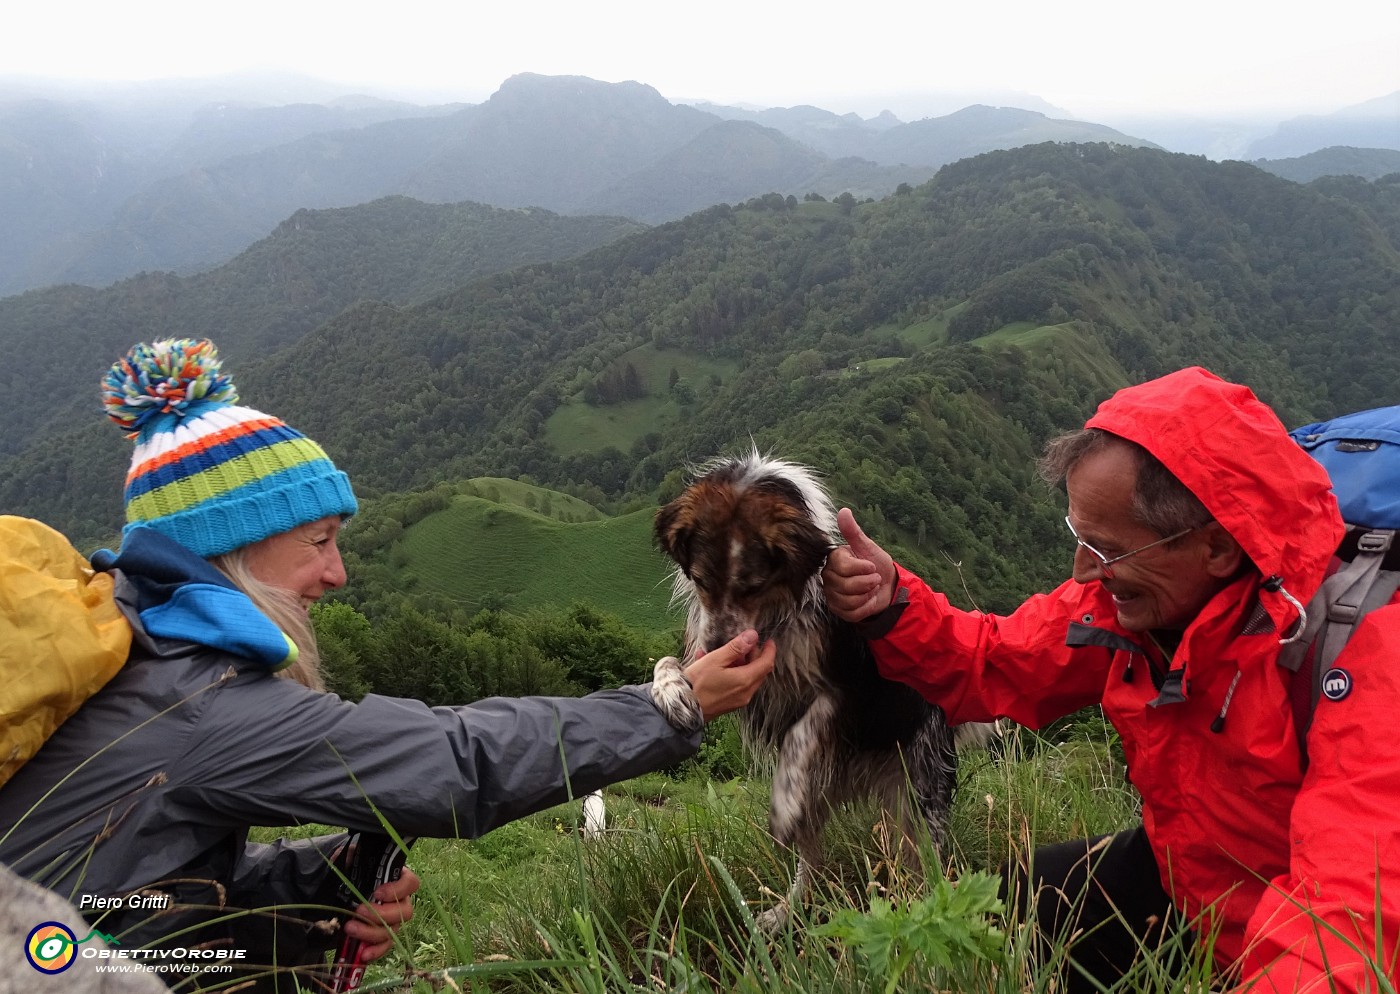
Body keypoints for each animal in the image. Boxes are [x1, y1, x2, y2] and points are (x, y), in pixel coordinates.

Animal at [649, 453, 980, 935]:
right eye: (700, 579)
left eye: (753, 585)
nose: (718, 649)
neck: (775, 617)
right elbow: (669, 661)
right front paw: (672, 691)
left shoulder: (850, 689)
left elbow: (804, 728)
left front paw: (784, 796)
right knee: (813, 863)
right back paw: (786, 912)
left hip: (919, 794)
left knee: (924, 860)